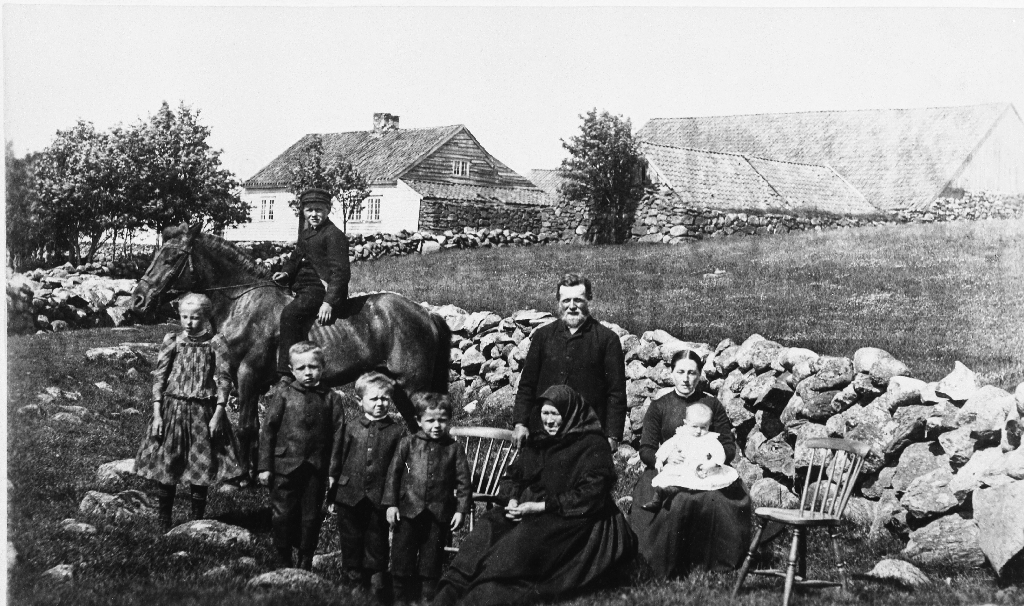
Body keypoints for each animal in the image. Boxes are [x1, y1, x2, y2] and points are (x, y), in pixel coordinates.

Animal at [130, 225, 450, 481]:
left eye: (171, 258)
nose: (138, 300)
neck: (243, 302)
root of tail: (426, 314)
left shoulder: (247, 375)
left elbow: (245, 427)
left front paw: (242, 477)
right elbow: (255, 427)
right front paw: (255, 473)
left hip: (413, 386)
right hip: (400, 388)